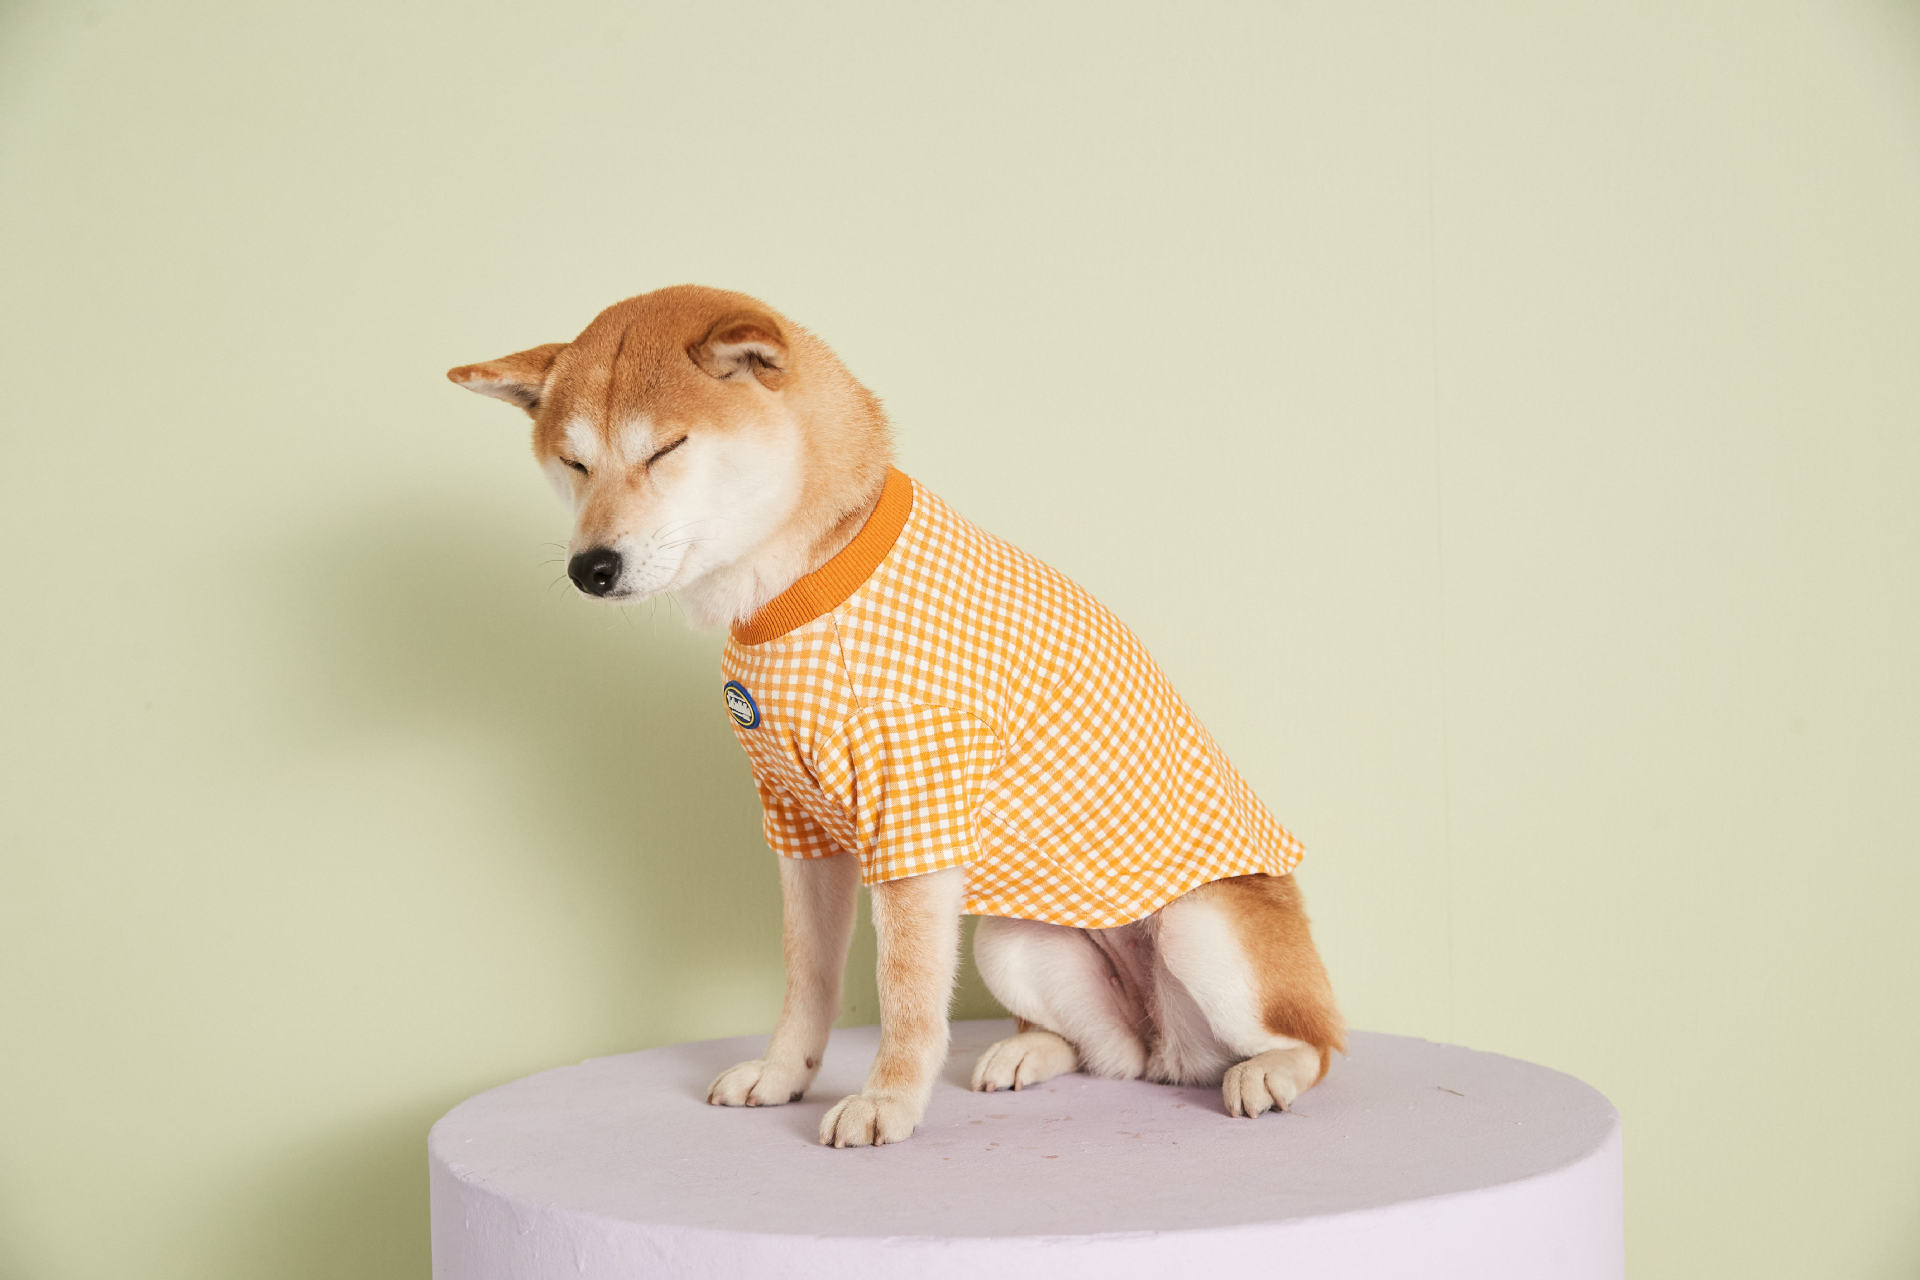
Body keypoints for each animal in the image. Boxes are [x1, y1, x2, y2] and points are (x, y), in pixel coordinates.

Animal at [449, 284, 1344, 1148]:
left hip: (1201, 928)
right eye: (573, 463)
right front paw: (784, 1075)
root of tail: (1175, 1051)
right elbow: (806, 977)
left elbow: (905, 993)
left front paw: (888, 1100)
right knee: (1112, 1055)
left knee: (1318, 1041)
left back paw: (1268, 1070)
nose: (589, 568)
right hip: (1013, 942)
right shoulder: (799, 829)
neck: (802, 584)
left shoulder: (913, 818)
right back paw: (1032, 1052)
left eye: (665, 449)